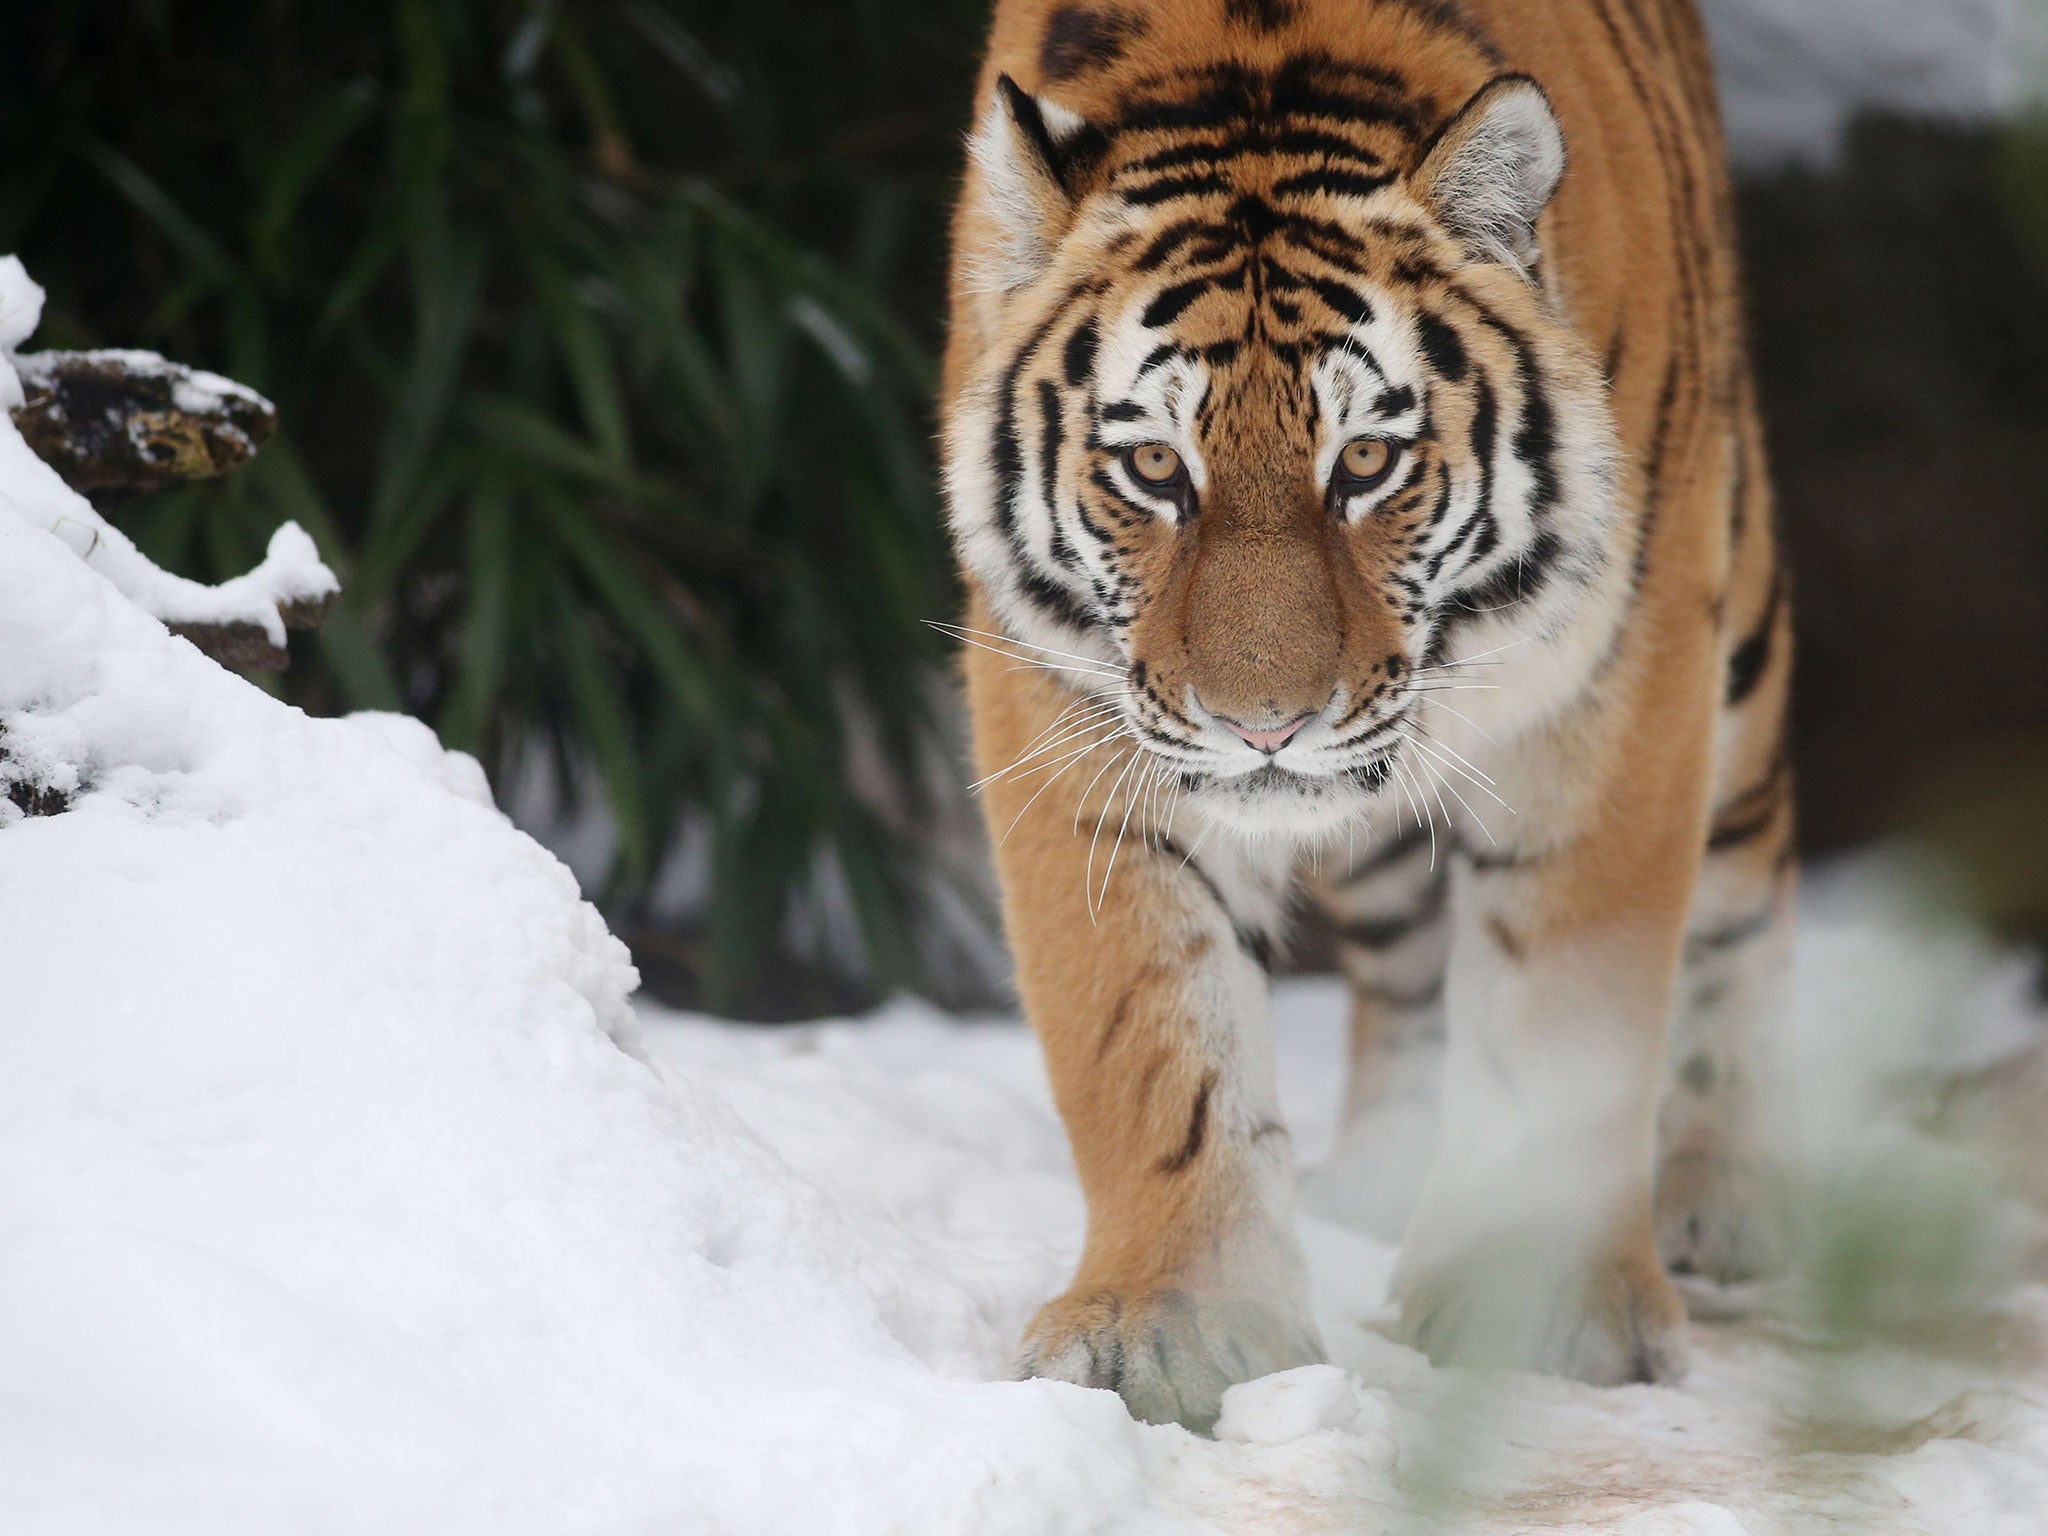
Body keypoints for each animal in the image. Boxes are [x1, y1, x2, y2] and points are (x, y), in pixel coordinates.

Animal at [937, 0, 1794, 1433]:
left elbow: (1567, 1003)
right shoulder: (1062, 702)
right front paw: (1164, 1326)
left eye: (1368, 463)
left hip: (1732, 624)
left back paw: (1729, 1198)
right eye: (1153, 466)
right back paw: (1386, 1172)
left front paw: (1544, 1308)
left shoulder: (1623, 683)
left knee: (1747, 887)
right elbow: (1146, 1031)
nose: (1263, 726)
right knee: (1401, 956)